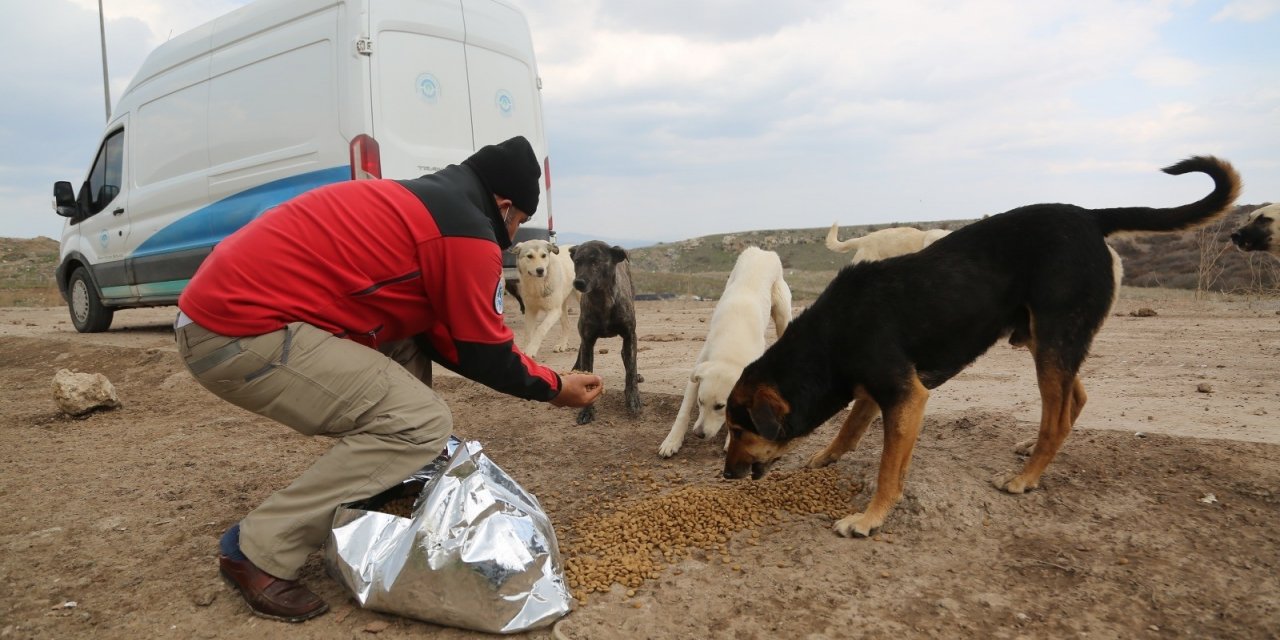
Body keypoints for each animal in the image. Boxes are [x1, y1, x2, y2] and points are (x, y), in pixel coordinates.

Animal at [660, 245, 788, 460]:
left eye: (720, 406)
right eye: (701, 402)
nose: (699, 434)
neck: (730, 351)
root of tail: (762, 252)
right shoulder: (698, 371)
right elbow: (683, 412)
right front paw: (672, 441)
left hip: (782, 314)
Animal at [732, 156, 1239, 540]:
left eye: (738, 429)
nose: (726, 475)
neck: (829, 338)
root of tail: (1091, 215)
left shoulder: (905, 394)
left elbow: (887, 468)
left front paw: (870, 517)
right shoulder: (882, 389)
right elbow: (853, 427)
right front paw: (828, 456)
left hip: (1052, 340)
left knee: (1057, 416)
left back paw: (1026, 478)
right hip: (1042, 338)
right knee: (1074, 397)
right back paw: (1031, 449)